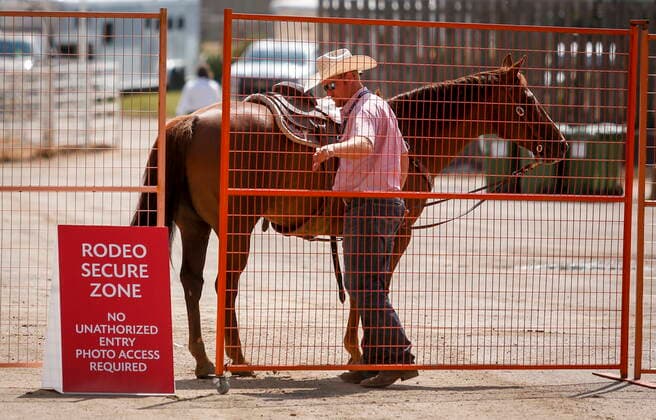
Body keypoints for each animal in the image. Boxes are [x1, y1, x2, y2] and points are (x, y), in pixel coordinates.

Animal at [131, 54, 568, 378]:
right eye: (528, 99)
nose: (560, 144)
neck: (409, 135)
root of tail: (189, 121)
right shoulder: (397, 231)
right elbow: (377, 284)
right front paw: (372, 357)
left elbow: (362, 286)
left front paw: (358, 354)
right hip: (235, 227)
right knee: (227, 284)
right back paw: (238, 360)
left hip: (195, 225)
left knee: (192, 282)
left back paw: (205, 361)